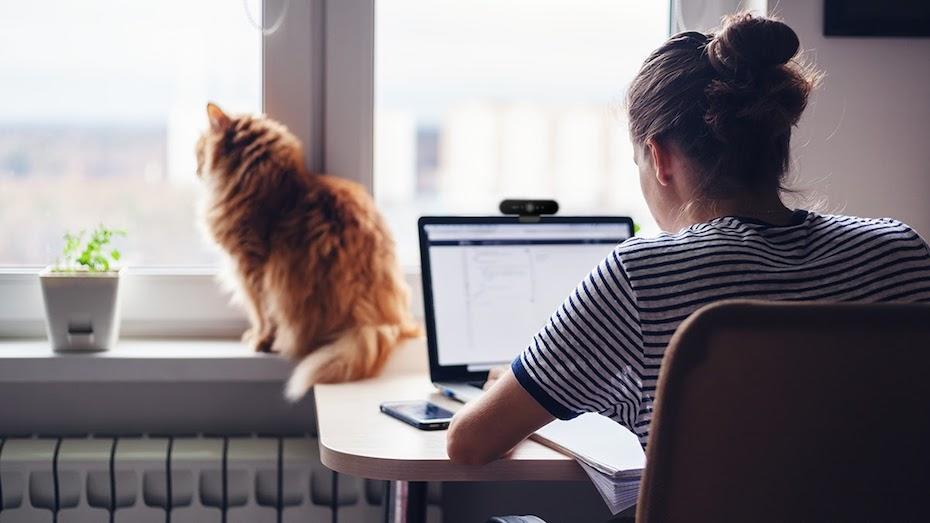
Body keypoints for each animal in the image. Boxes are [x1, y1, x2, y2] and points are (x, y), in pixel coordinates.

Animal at [196, 102, 420, 400]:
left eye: (199, 149)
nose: (196, 168)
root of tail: (375, 318)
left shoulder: (251, 268)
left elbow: (261, 314)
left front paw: (259, 340)